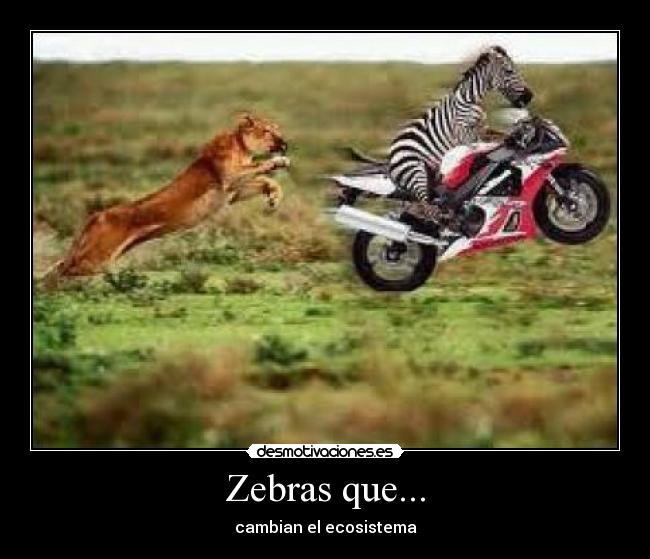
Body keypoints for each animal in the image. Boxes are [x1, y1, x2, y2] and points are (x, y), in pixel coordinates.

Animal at [388, 46, 534, 212]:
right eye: (509, 71)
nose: (529, 97)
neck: (471, 100)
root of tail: (391, 152)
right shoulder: (463, 133)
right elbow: (489, 142)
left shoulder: (483, 129)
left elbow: (500, 134)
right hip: (415, 170)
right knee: (426, 204)